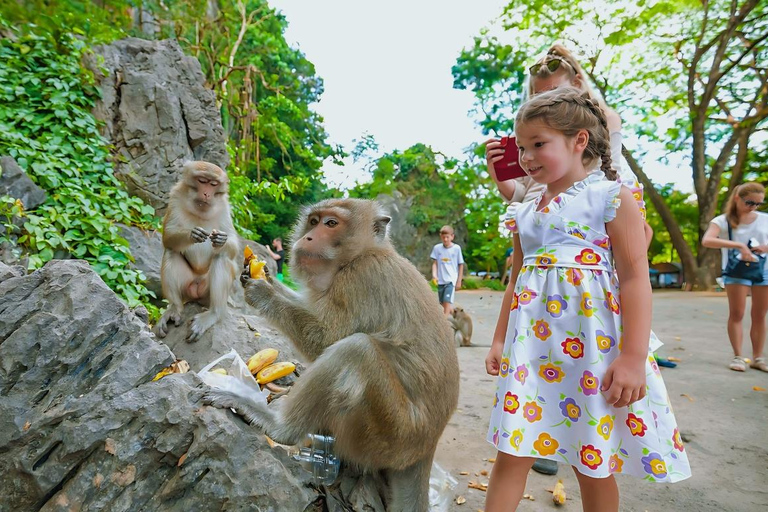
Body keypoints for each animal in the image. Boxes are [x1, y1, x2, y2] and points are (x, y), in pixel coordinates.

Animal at [156, 162, 240, 342]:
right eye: (202, 180)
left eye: (213, 184)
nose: (207, 193)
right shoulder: (175, 196)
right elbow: (168, 236)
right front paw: (192, 234)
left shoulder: (225, 206)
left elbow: (233, 246)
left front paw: (221, 240)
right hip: (187, 288)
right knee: (172, 252)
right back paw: (174, 308)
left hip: (205, 293)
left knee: (221, 258)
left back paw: (214, 314)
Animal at [201, 198, 460, 510]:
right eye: (314, 221)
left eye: (332, 223)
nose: (308, 237)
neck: (362, 254)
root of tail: (426, 447)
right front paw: (266, 277)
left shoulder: (360, 279)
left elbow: (326, 339)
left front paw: (264, 293)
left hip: (389, 434)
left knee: (355, 349)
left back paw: (279, 427)